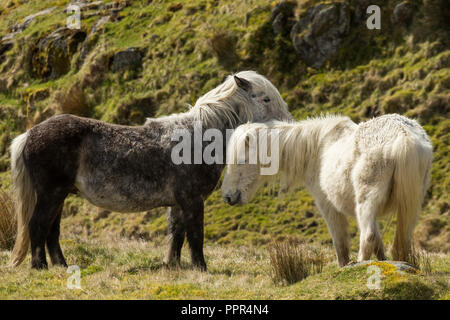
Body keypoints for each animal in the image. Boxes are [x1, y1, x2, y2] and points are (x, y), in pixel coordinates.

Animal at [223, 114, 434, 264]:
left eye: (241, 160)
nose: (228, 197)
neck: (316, 148)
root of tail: (404, 136)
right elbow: (379, 244)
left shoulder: (327, 205)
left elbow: (341, 245)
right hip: (409, 205)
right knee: (401, 238)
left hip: (366, 199)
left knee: (368, 236)